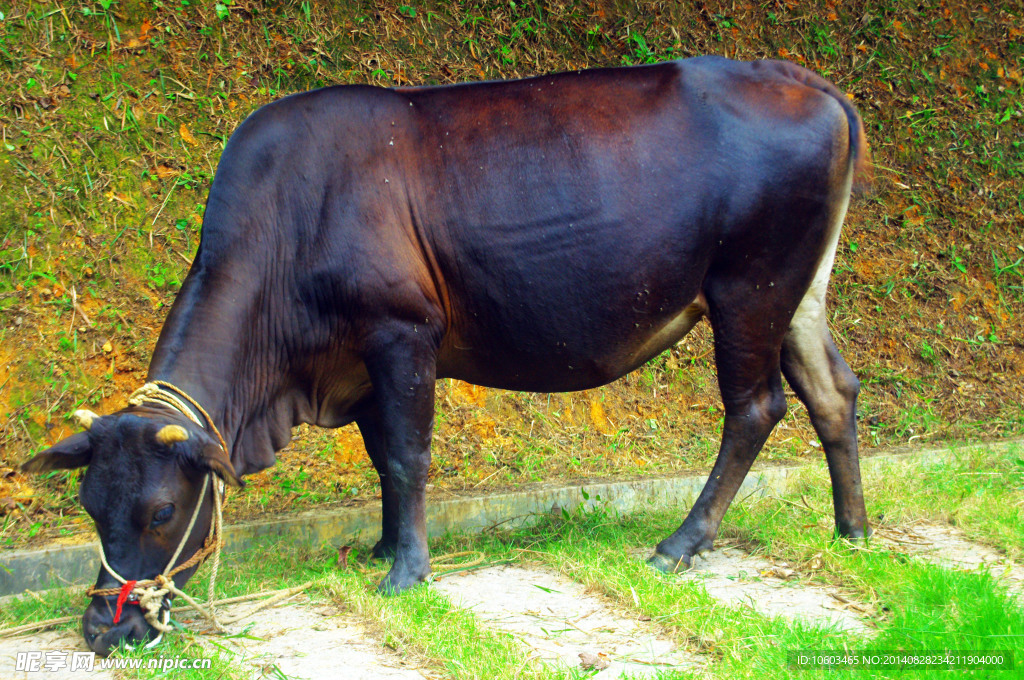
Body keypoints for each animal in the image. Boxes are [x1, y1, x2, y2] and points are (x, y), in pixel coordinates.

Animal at [24, 57, 872, 655]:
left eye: (163, 511)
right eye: (89, 505)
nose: (103, 628)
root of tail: (805, 82)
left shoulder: (402, 334)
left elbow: (409, 456)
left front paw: (407, 572)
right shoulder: (359, 368)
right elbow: (382, 460)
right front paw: (380, 548)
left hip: (747, 288)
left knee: (755, 408)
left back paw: (681, 544)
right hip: (798, 292)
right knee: (833, 390)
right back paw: (853, 530)